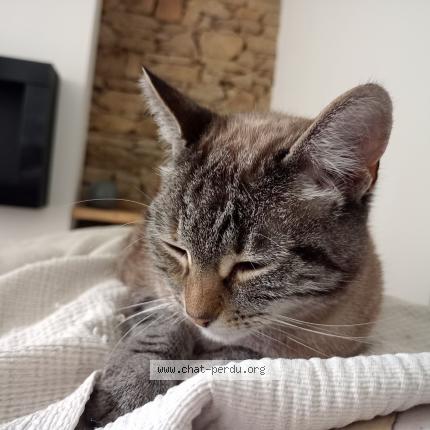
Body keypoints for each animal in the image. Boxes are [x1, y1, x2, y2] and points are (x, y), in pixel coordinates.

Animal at [82, 68, 392, 426]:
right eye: (177, 250)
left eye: (251, 266)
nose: (198, 318)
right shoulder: (149, 287)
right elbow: (158, 328)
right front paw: (129, 389)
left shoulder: (330, 346)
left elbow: (230, 359)